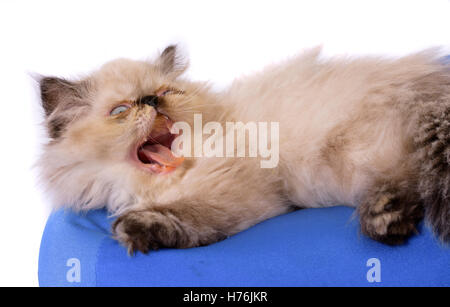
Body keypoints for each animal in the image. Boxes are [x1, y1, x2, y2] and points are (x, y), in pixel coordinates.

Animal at [36, 45, 450, 253]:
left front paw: (135, 231)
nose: (152, 101)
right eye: (121, 111)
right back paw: (388, 220)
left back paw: (383, 223)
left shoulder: (240, 194)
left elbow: (188, 216)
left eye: (168, 92)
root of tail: (431, 89)